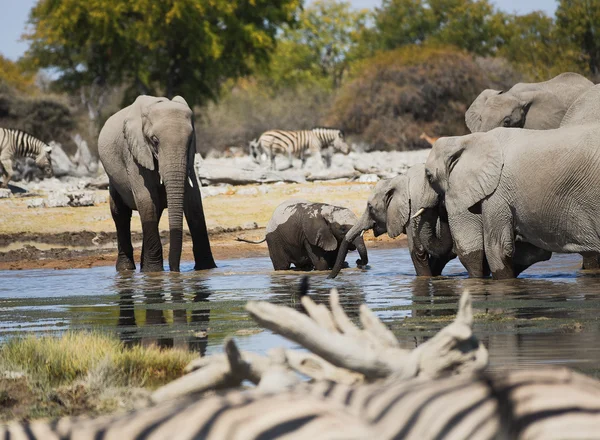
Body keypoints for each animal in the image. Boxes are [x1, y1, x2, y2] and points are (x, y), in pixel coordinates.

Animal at [99, 95, 217, 272]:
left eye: (190, 140)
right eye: (155, 141)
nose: (175, 270)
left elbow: (194, 201)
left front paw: (206, 269)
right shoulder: (134, 153)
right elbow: (146, 200)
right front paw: (154, 272)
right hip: (113, 179)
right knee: (121, 214)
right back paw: (127, 269)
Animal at [237, 199, 368, 272]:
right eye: (343, 229)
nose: (358, 262)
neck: (327, 209)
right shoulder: (310, 234)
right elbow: (321, 263)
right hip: (274, 239)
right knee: (282, 266)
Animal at [422, 125, 600, 280]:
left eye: (429, 176)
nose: (441, 206)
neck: (467, 139)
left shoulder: (498, 192)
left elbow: (497, 249)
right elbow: (530, 252)